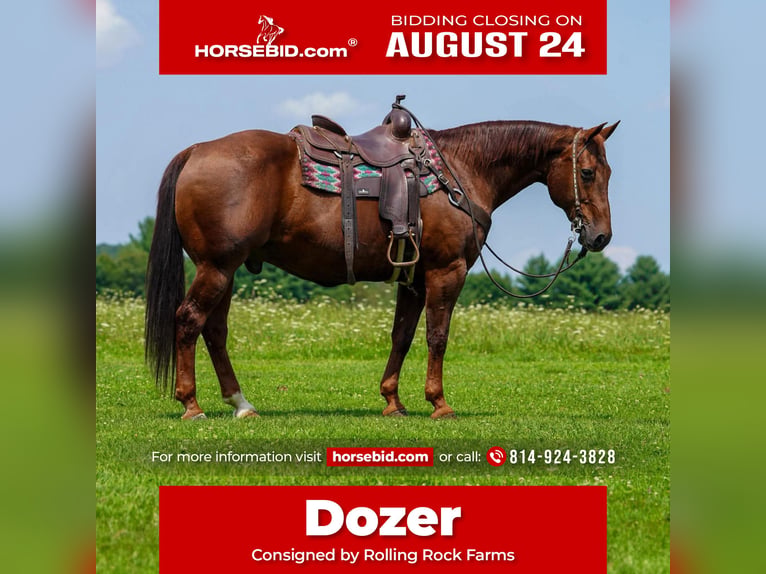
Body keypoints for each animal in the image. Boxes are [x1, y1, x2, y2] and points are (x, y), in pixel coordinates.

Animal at [145, 117, 619, 420]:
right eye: (587, 172)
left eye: (607, 171)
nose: (600, 237)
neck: (459, 171)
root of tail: (198, 151)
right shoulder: (447, 271)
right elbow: (437, 336)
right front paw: (439, 403)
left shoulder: (414, 279)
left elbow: (403, 336)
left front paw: (394, 401)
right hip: (217, 267)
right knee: (189, 320)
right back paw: (191, 404)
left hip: (224, 269)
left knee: (214, 330)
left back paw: (241, 404)